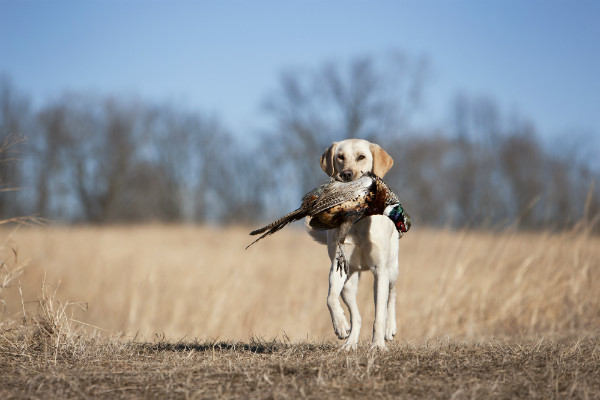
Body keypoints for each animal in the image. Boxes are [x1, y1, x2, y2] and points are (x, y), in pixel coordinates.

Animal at [310, 140, 398, 350]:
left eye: (361, 157)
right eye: (340, 157)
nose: (347, 174)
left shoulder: (380, 270)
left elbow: (379, 314)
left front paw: (378, 345)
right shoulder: (338, 265)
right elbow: (329, 298)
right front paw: (340, 325)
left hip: (392, 268)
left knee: (392, 295)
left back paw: (389, 329)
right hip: (349, 284)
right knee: (356, 316)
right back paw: (350, 343)